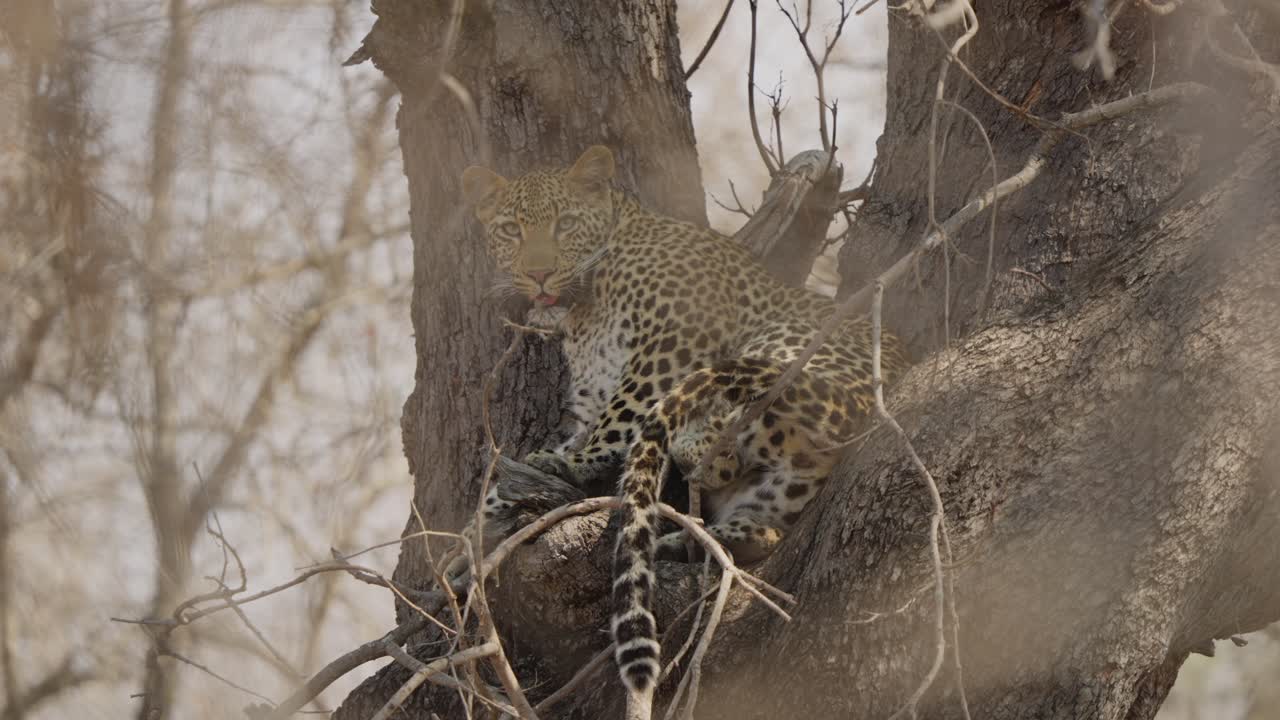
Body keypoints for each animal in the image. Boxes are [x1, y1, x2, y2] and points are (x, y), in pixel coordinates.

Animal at [460, 146, 909, 719]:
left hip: (777, 344)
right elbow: (554, 448)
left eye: (564, 225)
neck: (586, 306)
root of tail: (864, 395)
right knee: (764, 522)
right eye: (511, 230)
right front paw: (475, 528)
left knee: (727, 421)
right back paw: (694, 541)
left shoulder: (672, 339)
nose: (538, 275)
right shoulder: (588, 398)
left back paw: (691, 457)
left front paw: (570, 467)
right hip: (780, 481)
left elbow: (620, 418)